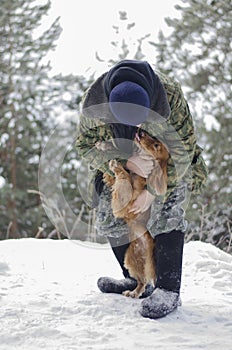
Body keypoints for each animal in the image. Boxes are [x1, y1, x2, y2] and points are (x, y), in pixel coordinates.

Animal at [101, 131, 169, 298]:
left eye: (156, 145)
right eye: (153, 137)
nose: (141, 132)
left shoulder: (127, 203)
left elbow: (123, 177)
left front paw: (116, 165)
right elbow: (114, 176)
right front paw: (105, 146)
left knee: (145, 280)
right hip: (131, 259)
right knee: (141, 281)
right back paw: (133, 292)